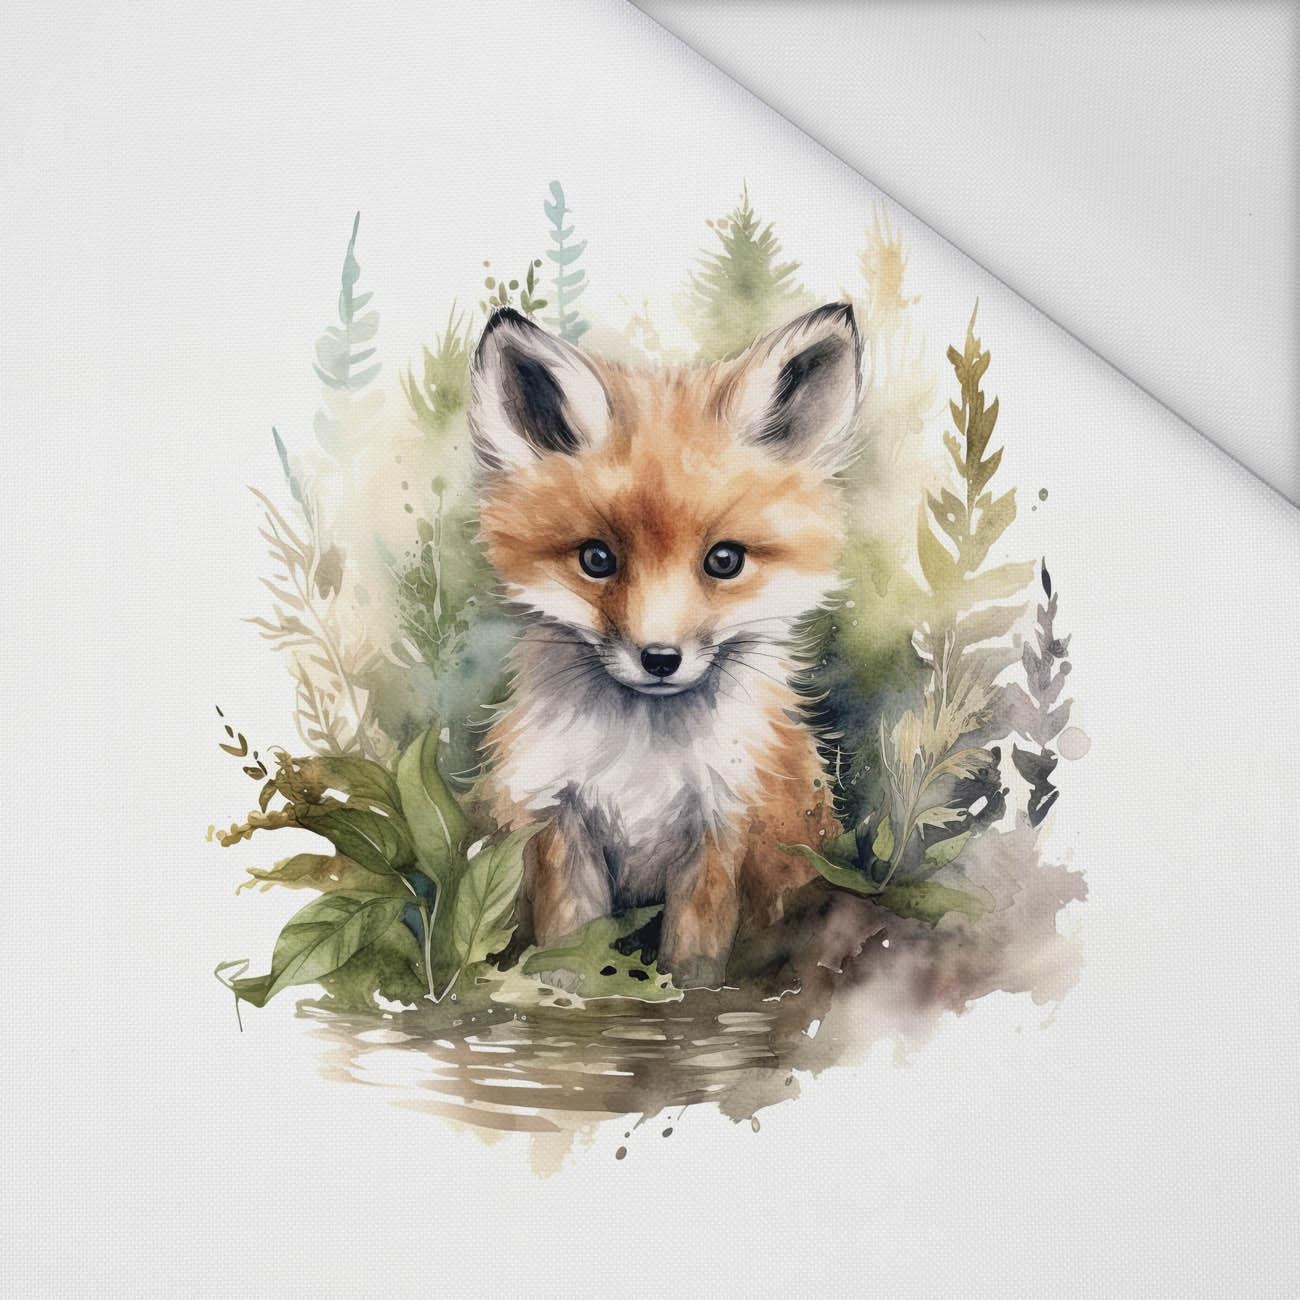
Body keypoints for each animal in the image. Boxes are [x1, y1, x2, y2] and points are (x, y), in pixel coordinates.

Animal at [468, 301, 863, 988]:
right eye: (597, 559)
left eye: (724, 560)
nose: (659, 659)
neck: (643, 764)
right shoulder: (560, 823)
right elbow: (569, 951)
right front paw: (563, 1003)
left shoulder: (721, 829)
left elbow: (693, 965)